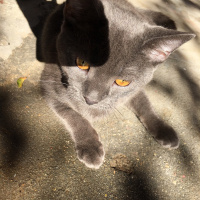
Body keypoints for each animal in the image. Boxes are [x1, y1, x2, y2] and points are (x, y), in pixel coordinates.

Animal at [40, 0, 195, 169]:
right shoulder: (49, 84)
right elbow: (73, 114)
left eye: (122, 82)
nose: (91, 99)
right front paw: (90, 146)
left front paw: (163, 129)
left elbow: (144, 103)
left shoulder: (134, 89)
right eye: (82, 63)